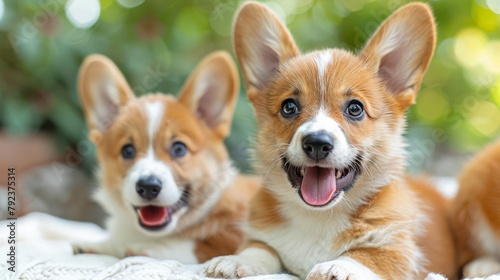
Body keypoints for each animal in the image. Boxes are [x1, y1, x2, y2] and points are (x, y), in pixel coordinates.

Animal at [74, 51, 262, 264]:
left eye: (179, 148)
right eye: (127, 151)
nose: (148, 186)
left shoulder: (238, 232)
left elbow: (194, 245)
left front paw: (144, 248)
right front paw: (99, 245)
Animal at [204, 2, 458, 280]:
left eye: (355, 108)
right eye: (289, 107)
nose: (317, 143)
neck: (320, 216)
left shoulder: (397, 251)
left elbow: (366, 255)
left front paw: (338, 266)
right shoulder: (262, 235)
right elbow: (261, 248)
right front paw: (236, 260)